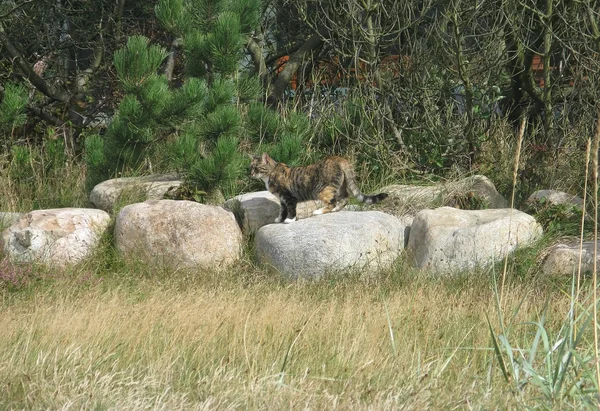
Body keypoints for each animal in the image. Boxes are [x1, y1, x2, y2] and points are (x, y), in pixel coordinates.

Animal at [248, 154, 390, 225]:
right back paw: (336, 210)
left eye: (257, 168)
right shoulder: (282, 199)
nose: (251, 173)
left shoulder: (289, 197)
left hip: (322, 190)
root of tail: (339, 158)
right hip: (340, 187)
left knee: (332, 202)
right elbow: (282, 210)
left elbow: (291, 210)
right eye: (251, 167)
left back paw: (318, 211)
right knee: (344, 199)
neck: (271, 173)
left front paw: (290, 220)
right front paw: (279, 219)